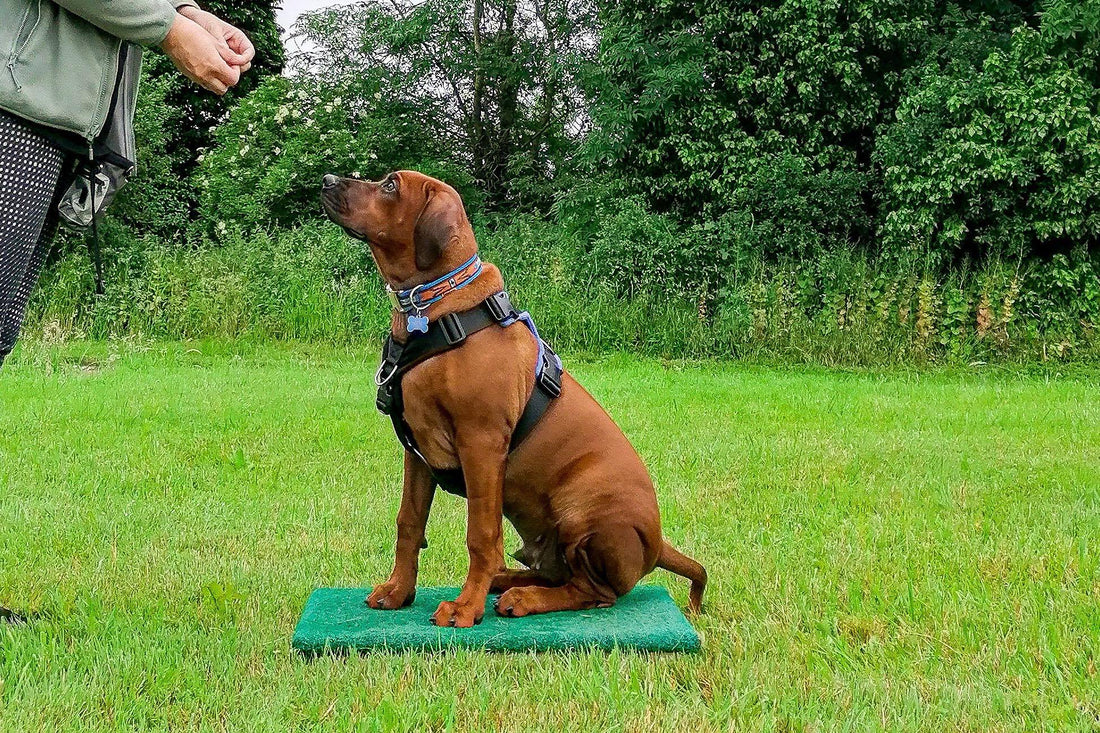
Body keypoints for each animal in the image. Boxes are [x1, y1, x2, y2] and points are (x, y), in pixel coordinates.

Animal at [321, 168, 708, 625]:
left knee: (595, 593)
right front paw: (398, 590)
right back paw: (507, 580)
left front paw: (465, 607)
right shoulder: (417, 451)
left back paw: (523, 597)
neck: (435, 307)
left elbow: (481, 535)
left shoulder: (482, 443)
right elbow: (409, 523)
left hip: (583, 513)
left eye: (390, 186)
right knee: (560, 575)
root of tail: (657, 542)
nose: (326, 179)